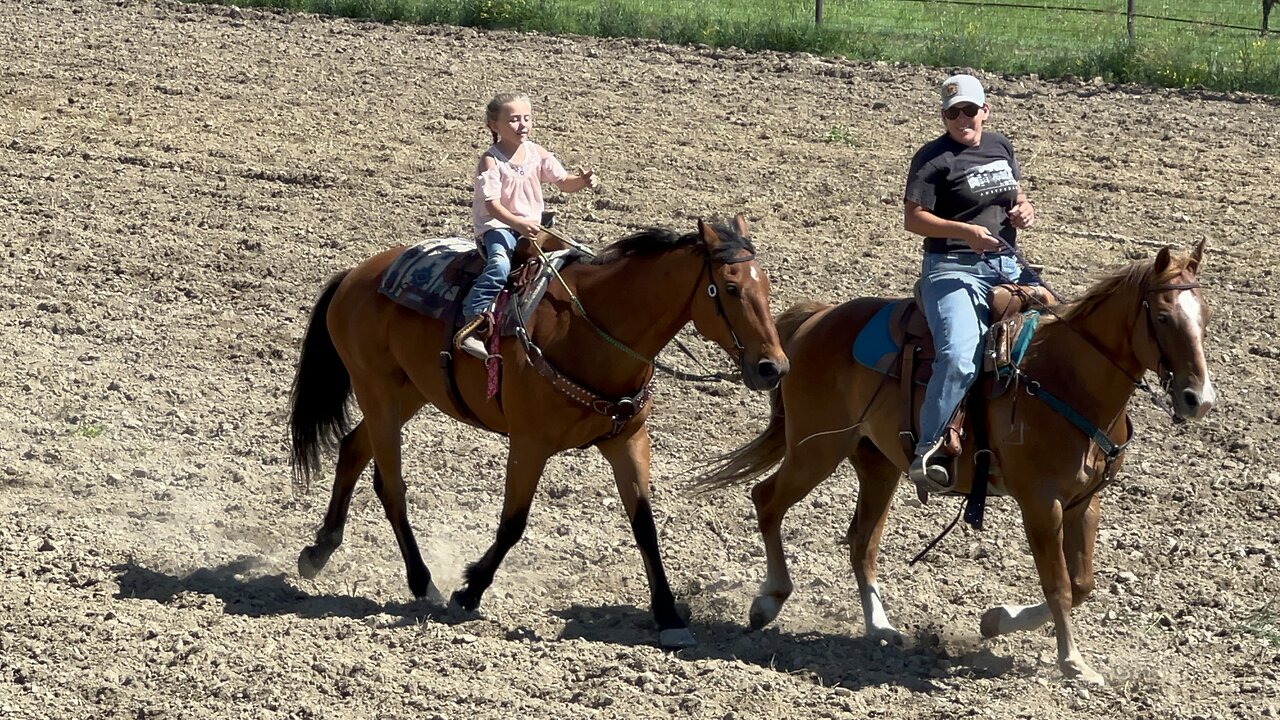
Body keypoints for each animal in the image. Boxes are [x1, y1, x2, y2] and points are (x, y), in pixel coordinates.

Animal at [290, 211, 788, 645]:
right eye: (729, 287)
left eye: (766, 285)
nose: (773, 368)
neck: (589, 330)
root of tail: (355, 274)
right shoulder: (530, 443)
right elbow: (513, 523)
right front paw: (468, 591)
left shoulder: (628, 440)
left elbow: (645, 526)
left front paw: (669, 618)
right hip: (377, 390)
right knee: (391, 485)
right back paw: (422, 583)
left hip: (409, 392)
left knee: (353, 449)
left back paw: (318, 551)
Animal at [696, 239, 1213, 676]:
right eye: (1162, 317)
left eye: (1204, 315)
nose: (1198, 399)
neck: (1066, 377)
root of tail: (815, 319)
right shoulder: (1040, 503)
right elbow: (1060, 584)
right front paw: (1073, 663)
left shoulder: (1085, 501)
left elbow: (1082, 582)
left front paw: (997, 619)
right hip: (815, 449)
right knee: (767, 500)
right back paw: (768, 601)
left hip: (877, 463)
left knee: (861, 542)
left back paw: (880, 627)